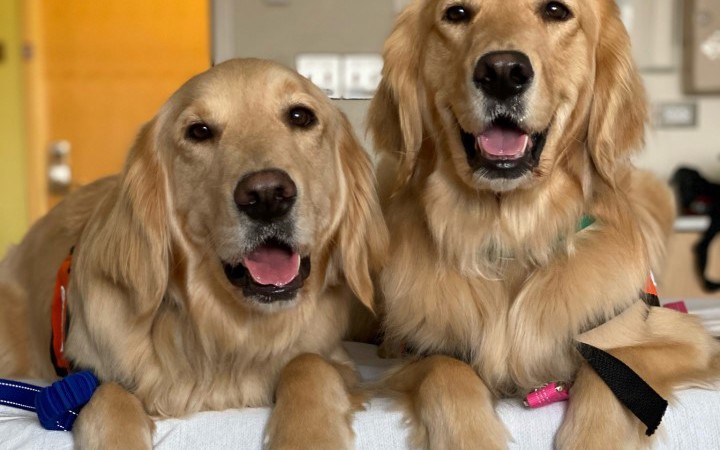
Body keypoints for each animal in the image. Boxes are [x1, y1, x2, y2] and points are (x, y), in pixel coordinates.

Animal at [0, 58, 388, 448]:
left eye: (300, 116)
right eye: (199, 131)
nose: (266, 196)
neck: (225, 332)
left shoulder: (336, 358)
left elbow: (309, 363)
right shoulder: (85, 375)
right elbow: (107, 395)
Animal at [368, 0, 720, 446]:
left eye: (556, 10)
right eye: (456, 12)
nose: (502, 72)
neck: (512, 235)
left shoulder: (683, 338)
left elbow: (610, 373)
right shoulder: (417, 351)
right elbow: (447, 372)